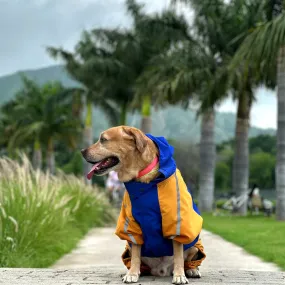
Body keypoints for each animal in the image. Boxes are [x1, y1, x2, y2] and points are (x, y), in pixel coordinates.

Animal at [81, 127, 205, 284]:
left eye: (103, 139)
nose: (82, 151)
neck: (143, 180)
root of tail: (161, 270)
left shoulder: (176, 222)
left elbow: (178, 254)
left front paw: (179, 275)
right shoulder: (132, 225)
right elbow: (135, 255)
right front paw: (132, 274)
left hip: (194, 245)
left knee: (187, 260)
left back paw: (191, 270)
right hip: (128, 248)